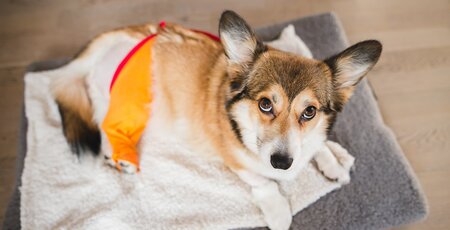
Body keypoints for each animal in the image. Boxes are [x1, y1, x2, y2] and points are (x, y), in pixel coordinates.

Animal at [51, 10, 382, 230]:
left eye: (309, 112)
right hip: (130, 104)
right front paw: (278, 212)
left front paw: (332, 160)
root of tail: (123, 37)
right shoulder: (235, 159)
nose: (282, 162)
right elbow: (263, 182)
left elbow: (318, 144)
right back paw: (119, 155)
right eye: (265, 104)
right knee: (104, 122)